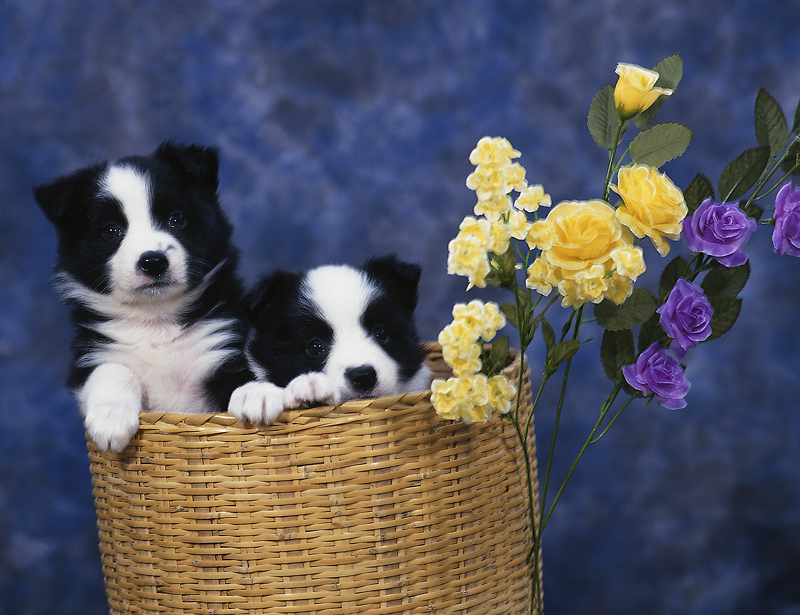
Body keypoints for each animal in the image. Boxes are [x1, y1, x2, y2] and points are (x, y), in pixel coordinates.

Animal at [33, 142, 253, 454]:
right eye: (111, 230)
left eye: (176, 219)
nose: (153, 261)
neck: (155, 320)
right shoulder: (90, 356)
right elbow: (112, 368)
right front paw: (111, 421)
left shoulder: (227, 342)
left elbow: (248, 375)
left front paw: (257, 395)